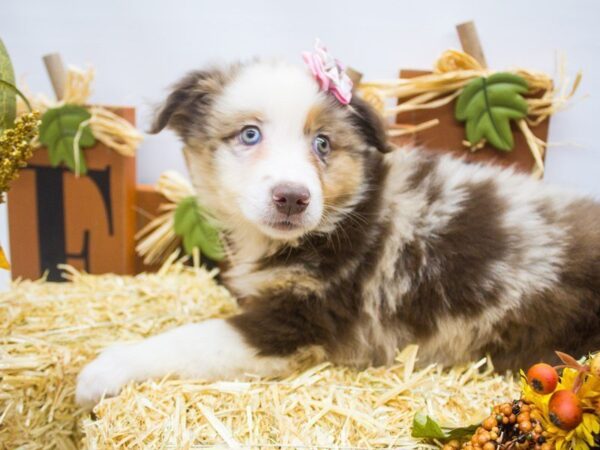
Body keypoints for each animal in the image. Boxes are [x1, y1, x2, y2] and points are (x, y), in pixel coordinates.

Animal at [75, 59, 600, 408]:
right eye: (249, 134)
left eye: (322, 144)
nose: (292, 197)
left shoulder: (299, 320)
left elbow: (190, 339)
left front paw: (106, 368)